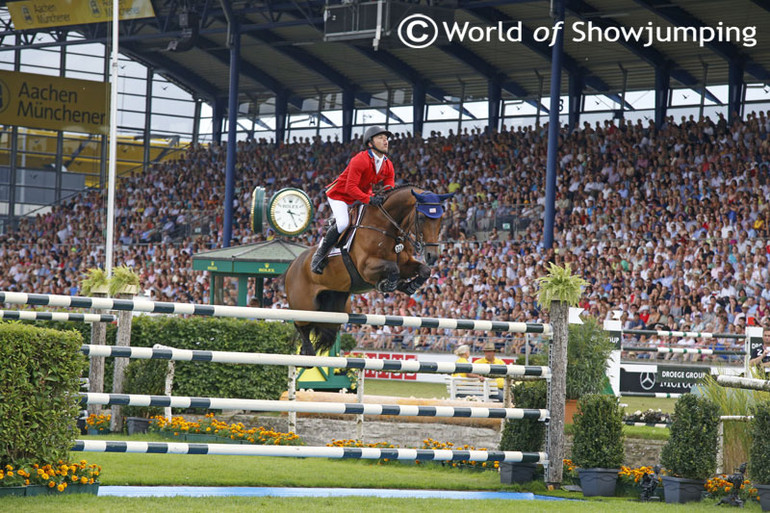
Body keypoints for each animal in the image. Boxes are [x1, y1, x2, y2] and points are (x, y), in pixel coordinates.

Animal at [282, 185, 450, 356]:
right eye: (422, 218)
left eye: (441, 219)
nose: (431, 256)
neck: (386, 227)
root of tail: (292, 265)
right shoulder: (366, 268)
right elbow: (393, 268)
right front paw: (388, 284)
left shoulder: (405, 263)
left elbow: (424, 270)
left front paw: (409, 286)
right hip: (305, 306)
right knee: (302, 328)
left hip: (334, 307)